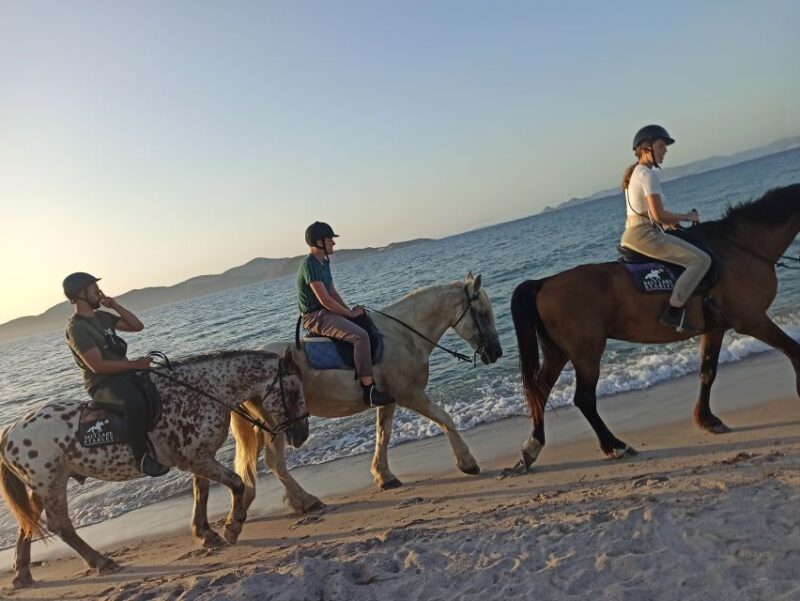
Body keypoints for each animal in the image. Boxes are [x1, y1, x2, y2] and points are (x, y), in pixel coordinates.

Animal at [0, 349, 308, 588]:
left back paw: (23, 574)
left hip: (41, 487)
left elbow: (202, 493)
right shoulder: (196, 458)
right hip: (51, 483)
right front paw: (232, 526)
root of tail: (10, 431)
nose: (302, 435)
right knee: (60, 524)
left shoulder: (199, 456)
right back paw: (102, 561)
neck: (200, 391)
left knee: (27, 524)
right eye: (293, 393)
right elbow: (236, 483)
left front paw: (206, 534)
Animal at [187, 273, 502, 523]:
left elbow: (383, 436)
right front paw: (467, 463)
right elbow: (445, 419)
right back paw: (306, 501)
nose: (496, 353)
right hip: (279, 422)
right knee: (275, 462)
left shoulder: (388, 399)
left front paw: (384, 476)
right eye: (483, 313)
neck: (403, 335)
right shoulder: (410, 395)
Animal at [510, 184, 800, 469]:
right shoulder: (752, 320)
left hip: (557, 352)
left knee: (541, 390)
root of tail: (544, 283)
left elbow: (707, 372)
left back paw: (532, 447)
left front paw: (706, 419)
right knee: (583, 398)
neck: (739, 249)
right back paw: (614, 446)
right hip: (586, 353)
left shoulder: (715, 329)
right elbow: (793, 349)